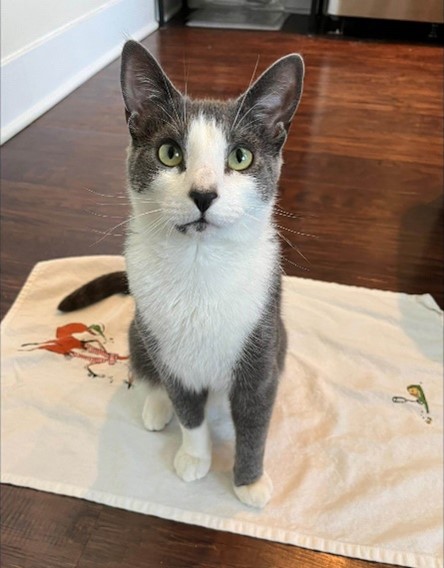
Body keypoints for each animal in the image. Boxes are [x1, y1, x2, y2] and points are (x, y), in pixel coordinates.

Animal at [59, 42, 306, 508]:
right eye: (170, 153)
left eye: (240, 157)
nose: (203, 195)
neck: (199, 266)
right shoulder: (170, 352)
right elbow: (188, 411)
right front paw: (195, 457)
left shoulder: (259, 348)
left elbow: (254, 423)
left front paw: (249, 482)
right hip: (140, 329)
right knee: (146, 367)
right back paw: (156, 407)